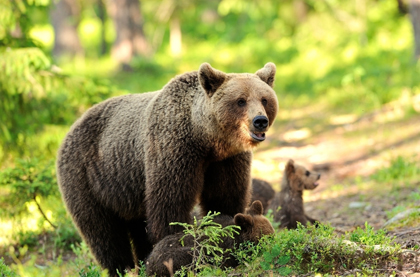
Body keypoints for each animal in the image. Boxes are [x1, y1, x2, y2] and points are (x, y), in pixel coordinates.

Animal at [56, 62, 278, 274]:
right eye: (241, 100)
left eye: (264, 99)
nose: (260, 121)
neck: (206, 140)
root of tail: (71, 128)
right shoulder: (173, 150)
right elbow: (169, 205)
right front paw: (172, 240)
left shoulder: (227, 161)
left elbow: (225, 197)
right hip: (89, 176)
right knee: (104, 233)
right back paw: (120, 268)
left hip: (129, 192)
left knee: (136, 226)